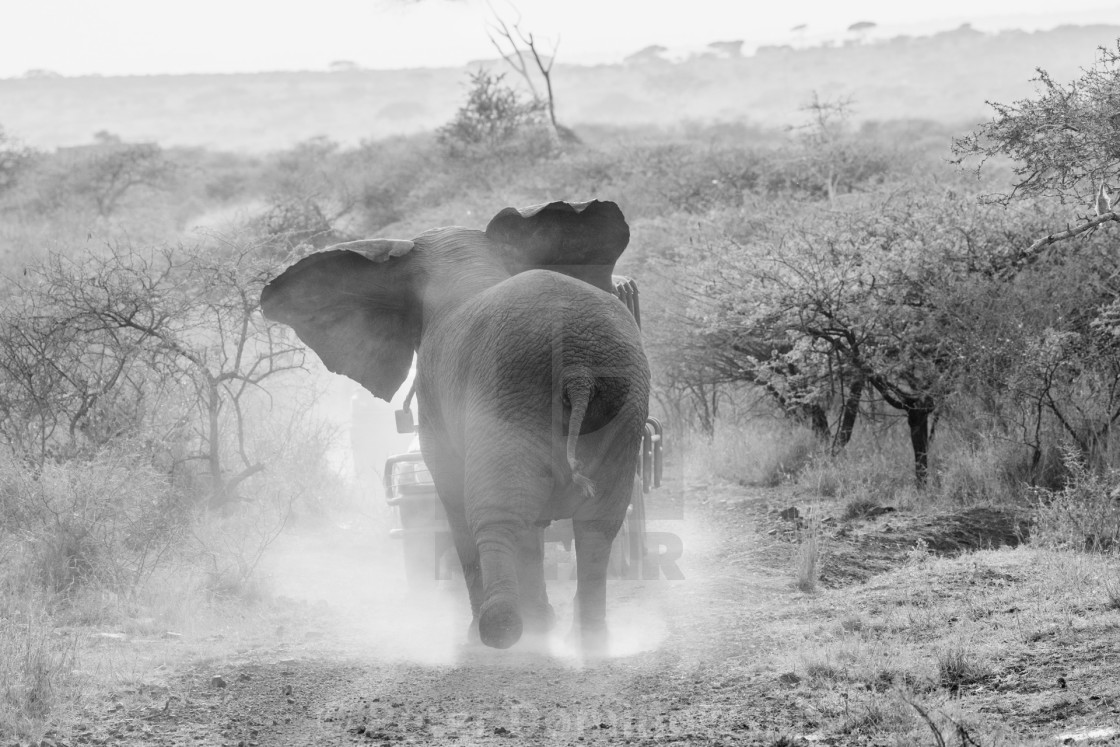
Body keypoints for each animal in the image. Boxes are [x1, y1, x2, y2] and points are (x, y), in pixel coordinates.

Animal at [259, 198, 649, 654]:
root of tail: (578, 369)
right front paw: (542, 626)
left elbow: (454, 497)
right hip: (619, 401)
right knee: (597, 522)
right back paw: (586, 640)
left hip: (509, 395)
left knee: (493, 513)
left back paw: (497, 632)